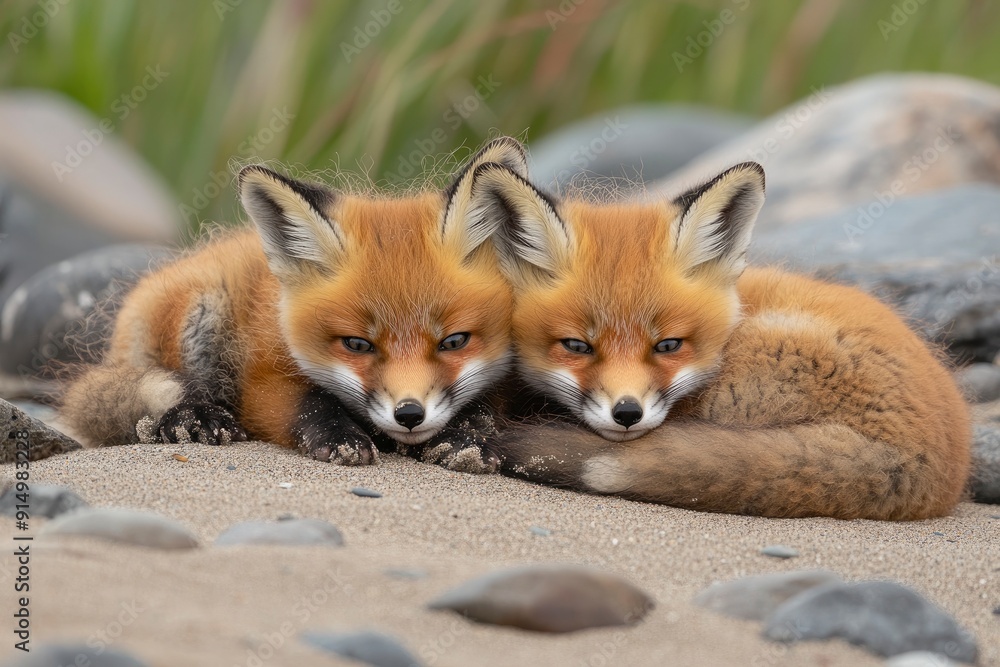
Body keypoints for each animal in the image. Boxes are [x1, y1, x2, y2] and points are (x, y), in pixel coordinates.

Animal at [57, 137, 529, 471]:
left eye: (454, 342)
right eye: (357, 345)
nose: (409, 414)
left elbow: (482, 409)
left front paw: (465, 441)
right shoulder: (263, 380)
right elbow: (311, 405)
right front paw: (339, 437)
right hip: (199, 314)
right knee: (173, 390)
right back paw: (192, 417)